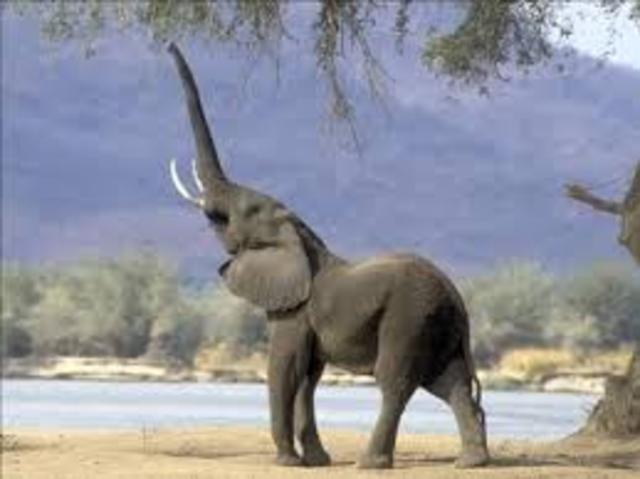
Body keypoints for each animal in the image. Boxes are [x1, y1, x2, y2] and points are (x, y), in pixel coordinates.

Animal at [166, 43, 490, 470]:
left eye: (244, 211)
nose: (169, 45)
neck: (301, 235)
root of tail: (457, 299)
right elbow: (309, 376)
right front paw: (316, 461)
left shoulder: (294, 309)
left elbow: (286, 368)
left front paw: (287, 462)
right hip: (439, 326)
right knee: (449, 382)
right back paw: (472, 462)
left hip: (410, 317)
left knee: (396, 381)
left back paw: (371, 463)